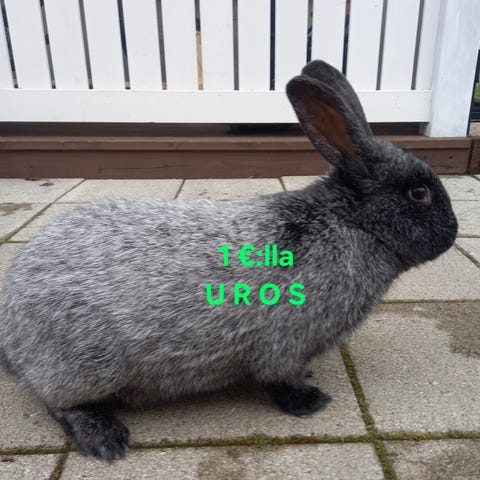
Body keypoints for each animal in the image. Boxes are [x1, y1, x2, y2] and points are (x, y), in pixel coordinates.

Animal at [0, 60, 457, 462]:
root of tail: (10, 326)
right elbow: (279, 379)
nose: (453, 232)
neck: (351, 223)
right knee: (60, 403)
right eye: (419, 193)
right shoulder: (284, 345)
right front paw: (311, 402)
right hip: (85, 366)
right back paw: (106, 439)